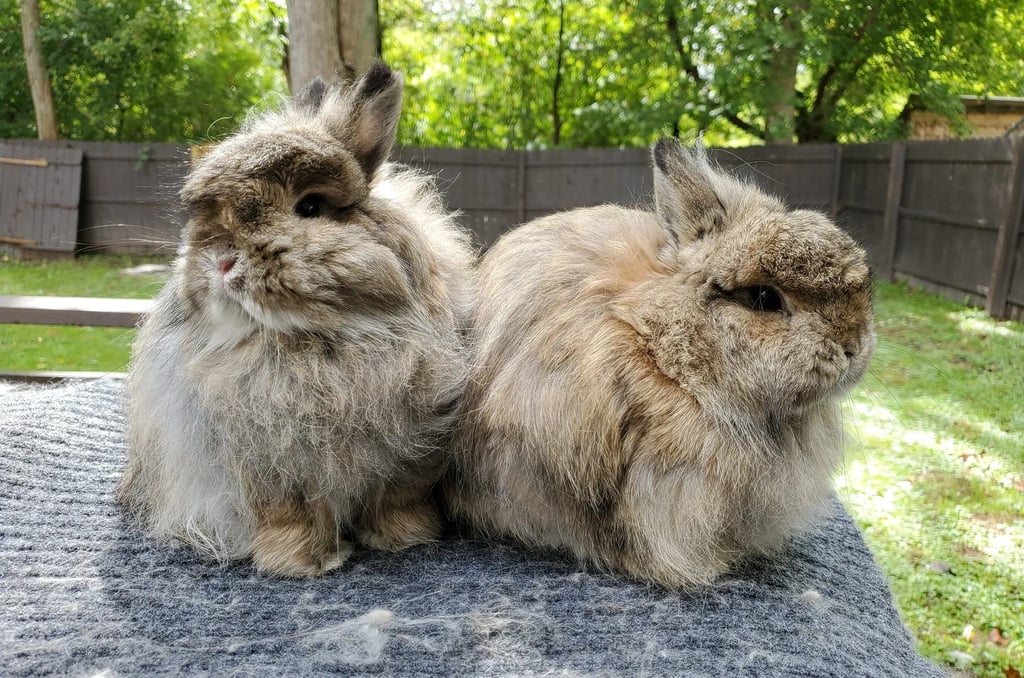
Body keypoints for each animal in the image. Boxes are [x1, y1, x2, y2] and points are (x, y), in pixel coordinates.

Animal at [117, 63, 476, 578]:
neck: (314, 340)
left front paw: (402, 540)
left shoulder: (414, 453)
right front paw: (303, 564)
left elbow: (396, 500)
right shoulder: (268, 468)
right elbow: (291, 516)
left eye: (309, 207)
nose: (220, 260)